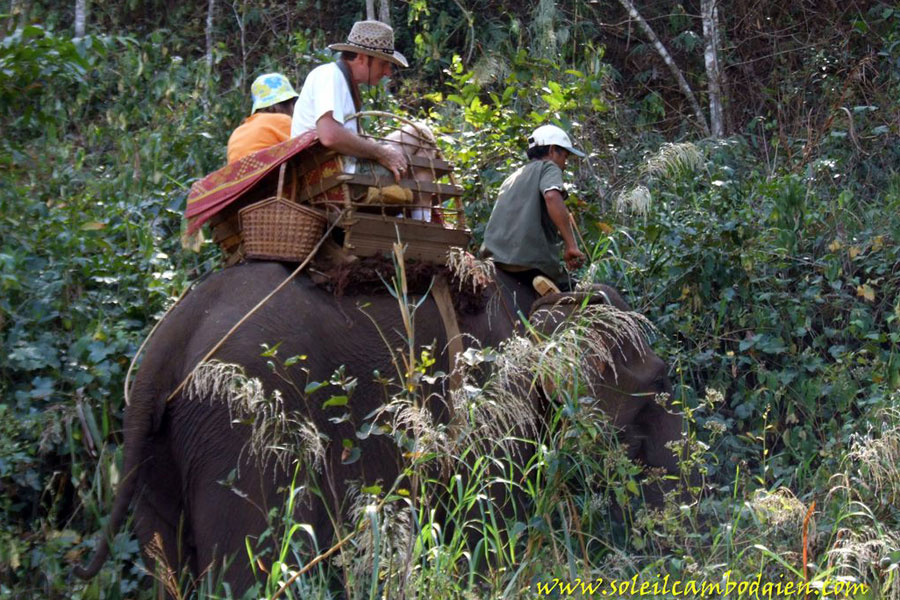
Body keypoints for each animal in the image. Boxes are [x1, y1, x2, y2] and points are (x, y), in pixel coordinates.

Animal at [75, 262, 684, 596]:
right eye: (658, 378)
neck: (545, 298)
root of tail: (161, 349)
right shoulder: (489, 398)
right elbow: (491, 508)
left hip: (162, 450)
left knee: (168, 564)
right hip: (239, 426)